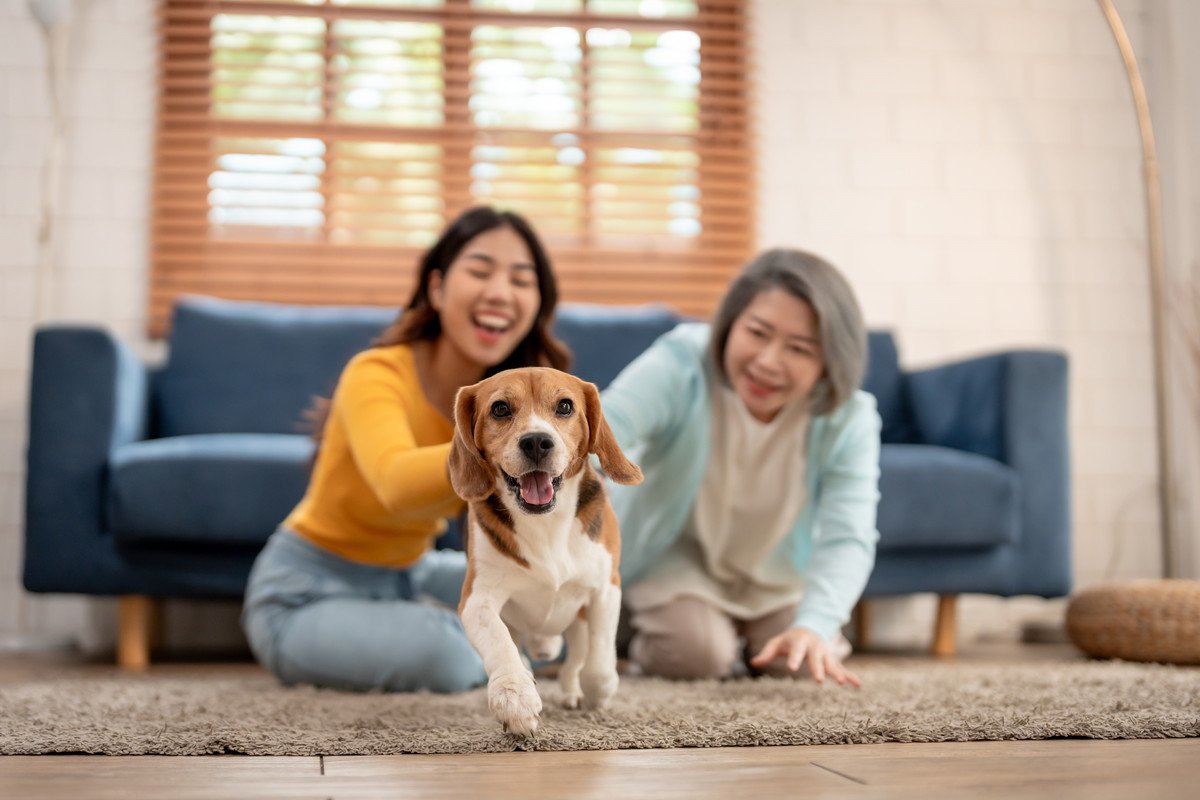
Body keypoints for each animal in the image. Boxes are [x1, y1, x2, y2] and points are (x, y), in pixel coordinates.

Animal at [451, 367, 643, 734]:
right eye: (500, 409)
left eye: (565, 406)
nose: (537, 441)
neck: (545, 523)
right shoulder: (477, 599)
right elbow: (501, 643)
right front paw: (514, 697)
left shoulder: (606, 588)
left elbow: (598, 659)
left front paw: (600, 692)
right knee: (521, 649)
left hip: (577, 621)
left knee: (576, 660)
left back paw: (572, 693)